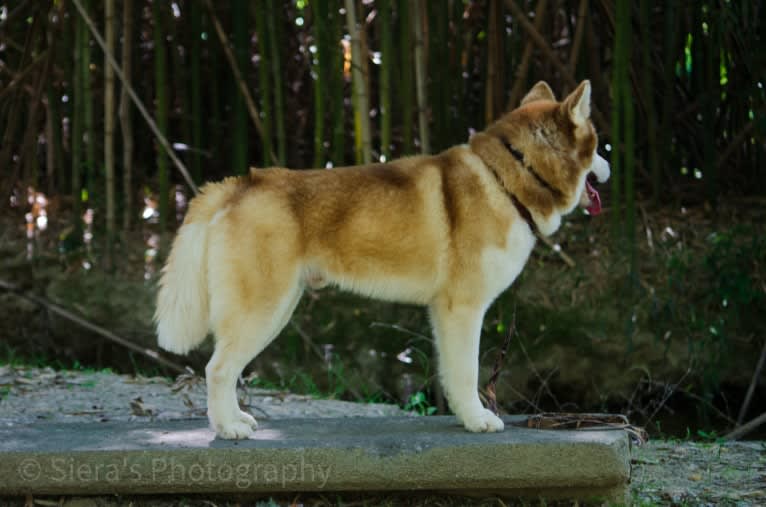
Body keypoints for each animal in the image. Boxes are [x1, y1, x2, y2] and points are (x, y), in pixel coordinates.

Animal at [154, 80, 612, 440]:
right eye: (595, 143)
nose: (610, 166)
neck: (505, 180)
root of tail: (240, 184)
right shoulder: (464, 309)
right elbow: (467, 372)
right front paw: (478, 418)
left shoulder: (445, 313)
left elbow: (451, 372)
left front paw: (463, 415)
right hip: (261, 308)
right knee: (217, 368)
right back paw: (226, 428)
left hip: (277, 309)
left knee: (228, 368)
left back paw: (237, 419)